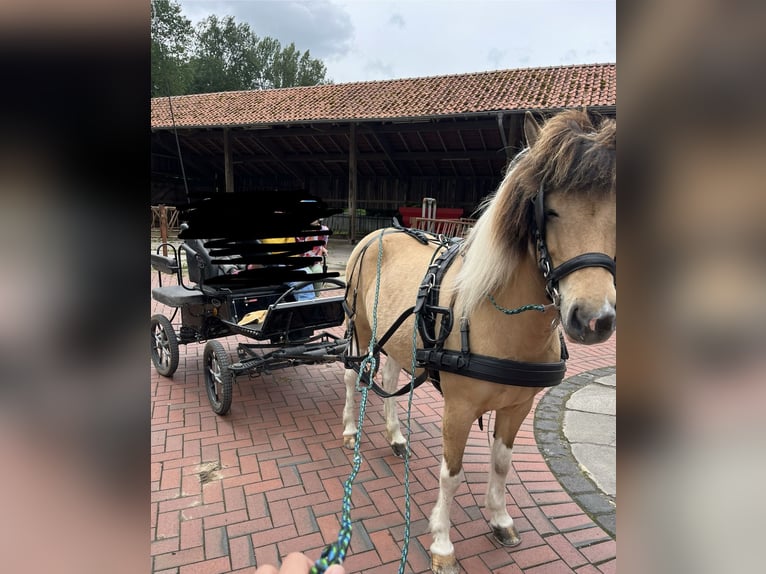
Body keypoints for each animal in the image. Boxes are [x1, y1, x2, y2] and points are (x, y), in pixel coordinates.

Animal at [342, 109, 616, 574]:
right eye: (549, 211)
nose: (594, 319)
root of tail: (379, 233)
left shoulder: (518, 407)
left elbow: (502, 463)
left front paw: (500, 518)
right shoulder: (459, 408)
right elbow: (450, 474)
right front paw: (441, 543)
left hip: (395, 338)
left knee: (391, 379)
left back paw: (396, 436)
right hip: (359, 327)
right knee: (351, 376)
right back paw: (348, 428)